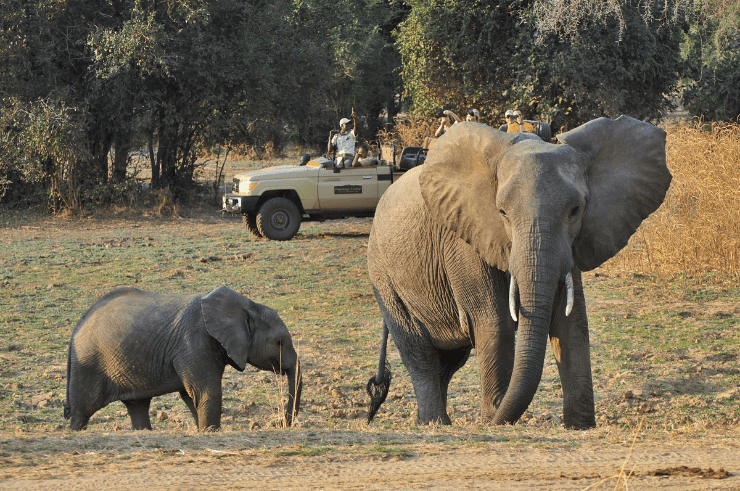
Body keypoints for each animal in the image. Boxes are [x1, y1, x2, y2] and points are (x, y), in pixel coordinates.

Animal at [63, 286, 300, 432]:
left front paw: (203, 430)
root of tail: (77, 325)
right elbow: (207, 391)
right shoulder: (193, 341)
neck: (245, 305)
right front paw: (210, 432)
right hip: (88, 363)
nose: (283, 423)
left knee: (138, 406)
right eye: (279, 342)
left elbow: (192, 394)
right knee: (82, 411)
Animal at [366, 117, 672, 428]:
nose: (493, 418)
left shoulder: (571, 244)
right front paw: (494, 418)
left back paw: (433, 422)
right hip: (382, 275)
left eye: (575, 210)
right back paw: (435, 423)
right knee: (419, 352)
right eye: (502, 213)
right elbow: (494, 321)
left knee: (449, 361)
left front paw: (579, 426)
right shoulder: (463, 237)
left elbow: (571, 322)